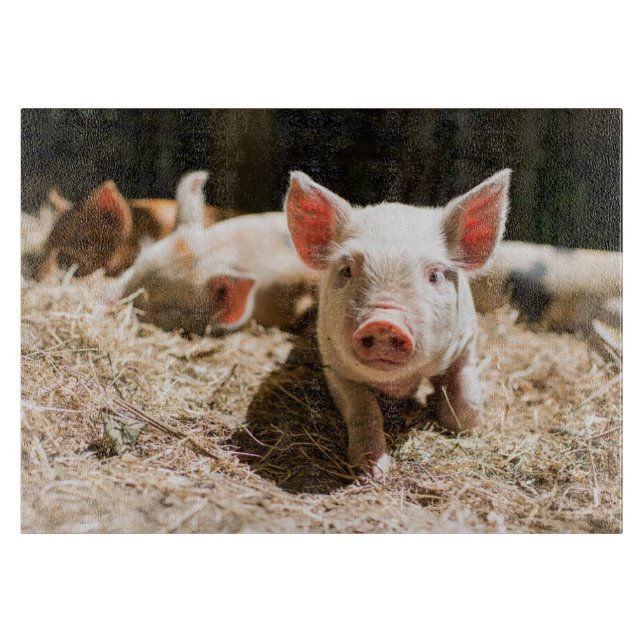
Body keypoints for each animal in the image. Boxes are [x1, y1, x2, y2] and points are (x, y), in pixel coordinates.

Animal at [285, 169, 512, 478]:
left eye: (435, 275)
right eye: (347, 270)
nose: (383, 322)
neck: (398, 385)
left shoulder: (466, 341)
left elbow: (466, 402)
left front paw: (458, 424)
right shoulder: (333, 363)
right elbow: (364, 410)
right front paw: (370, 473)